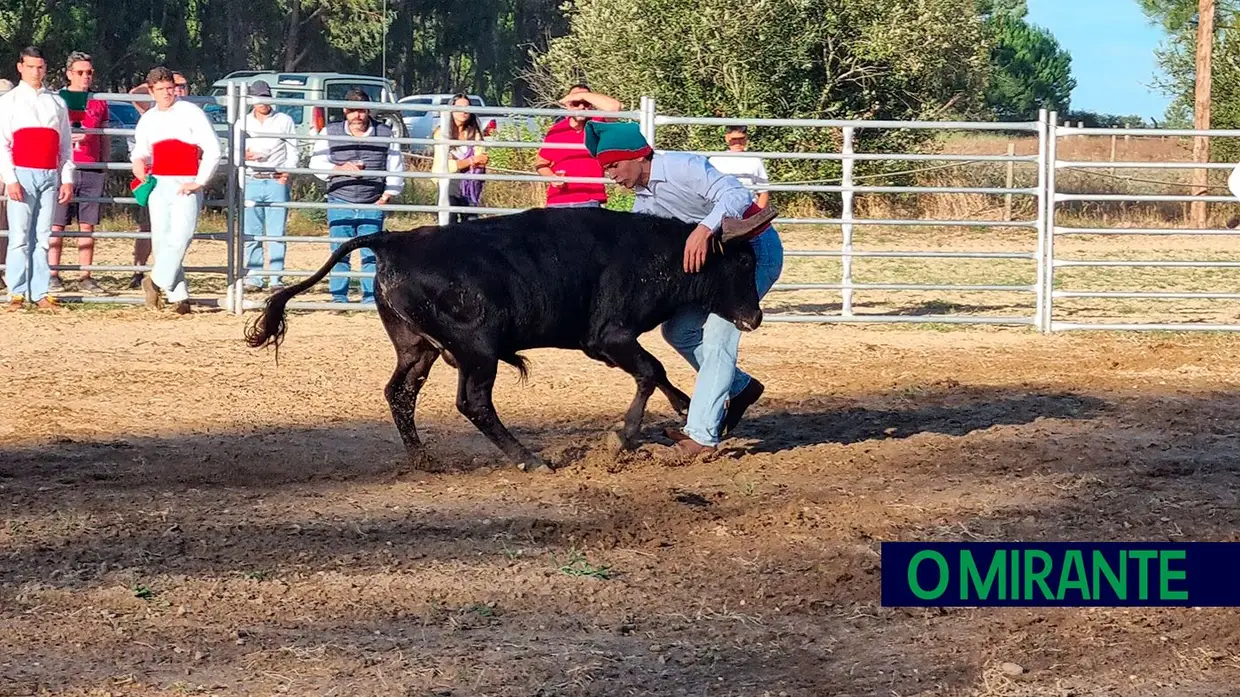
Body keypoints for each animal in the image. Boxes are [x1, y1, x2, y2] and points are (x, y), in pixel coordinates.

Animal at [241, 203, 763, 468]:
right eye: (742, 262)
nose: (755, 318)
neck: (651, 254)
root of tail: (396, 239)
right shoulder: (609, 337)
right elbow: (651, 370)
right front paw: (625, 435)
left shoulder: (606, 345)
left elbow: (656, 374)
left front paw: (684, 410)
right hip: (477, 350)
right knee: (473, 403)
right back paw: (528, 459)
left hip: (418, 347)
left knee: (400, 392)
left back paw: (423, 458)